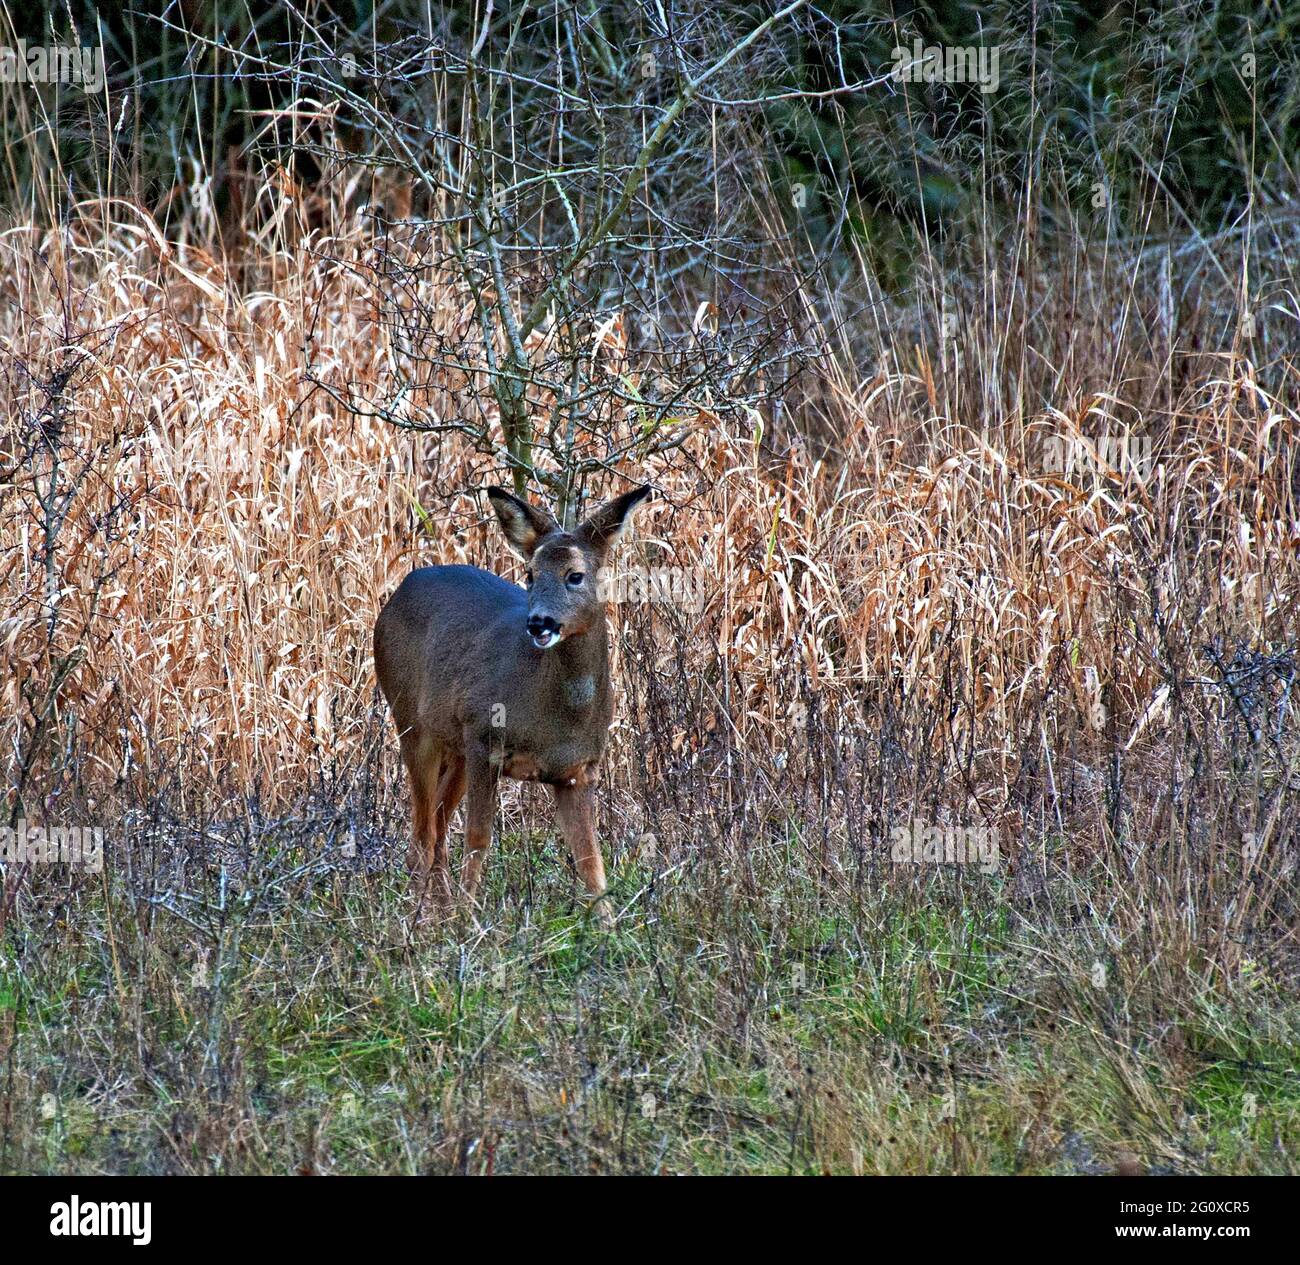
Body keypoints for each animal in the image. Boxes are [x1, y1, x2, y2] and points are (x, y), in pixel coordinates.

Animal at [373, 484, 651, 924]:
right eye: (530, 574)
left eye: (576, 575)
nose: (539, 622)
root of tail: (398, 591)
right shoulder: (485, 739)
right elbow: (478, 837)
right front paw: (469, 920)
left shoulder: (579, 771)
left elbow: (590, 857)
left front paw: (610, 927)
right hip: (412, 722)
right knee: (423, 835)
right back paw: (420, 921)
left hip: (455, 746)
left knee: (436, 829)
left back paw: (438, 913)